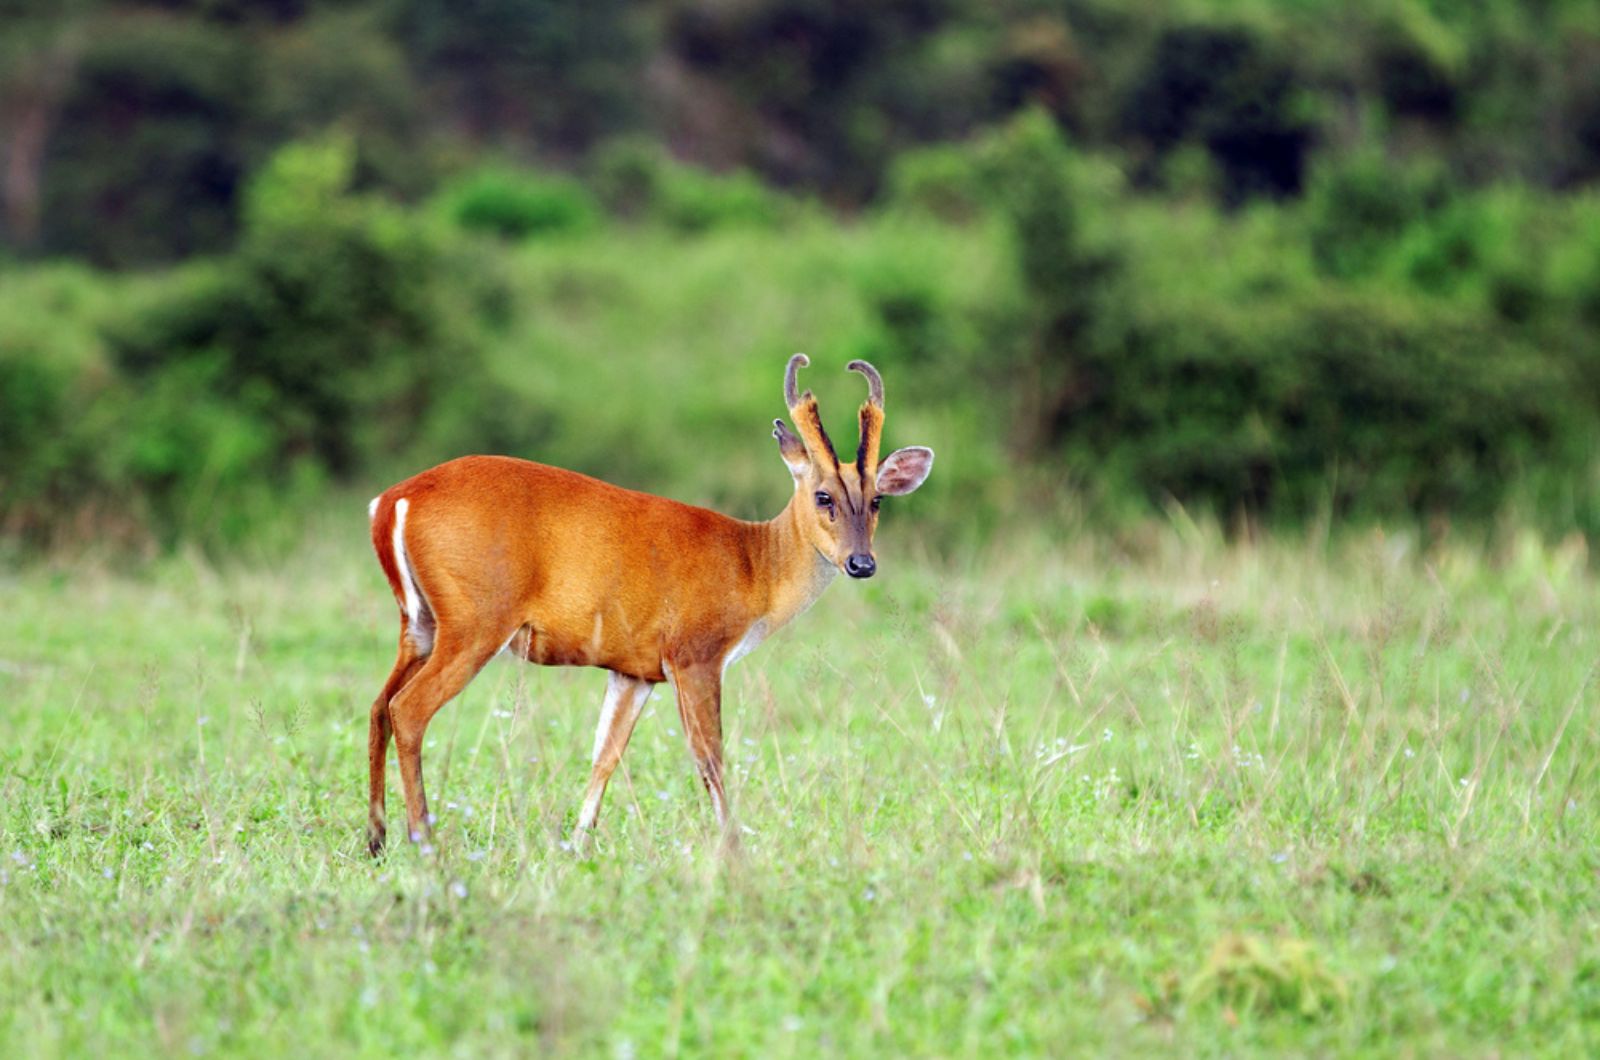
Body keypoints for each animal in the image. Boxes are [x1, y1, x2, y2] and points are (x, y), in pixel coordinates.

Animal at [366, 357, 934, 858]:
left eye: (877, 499)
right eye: (823, 496)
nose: (862, 563)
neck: (753, 565)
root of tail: (392, 501)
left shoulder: (634, 671)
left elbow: (605, 755)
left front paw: (576, 845)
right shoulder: (695, 655)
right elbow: (711, 759)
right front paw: (734, 850)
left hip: (418, 624)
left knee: (378, 707)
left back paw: (377, 840)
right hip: (475, 622)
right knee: (408, 710)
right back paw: (423, 841)